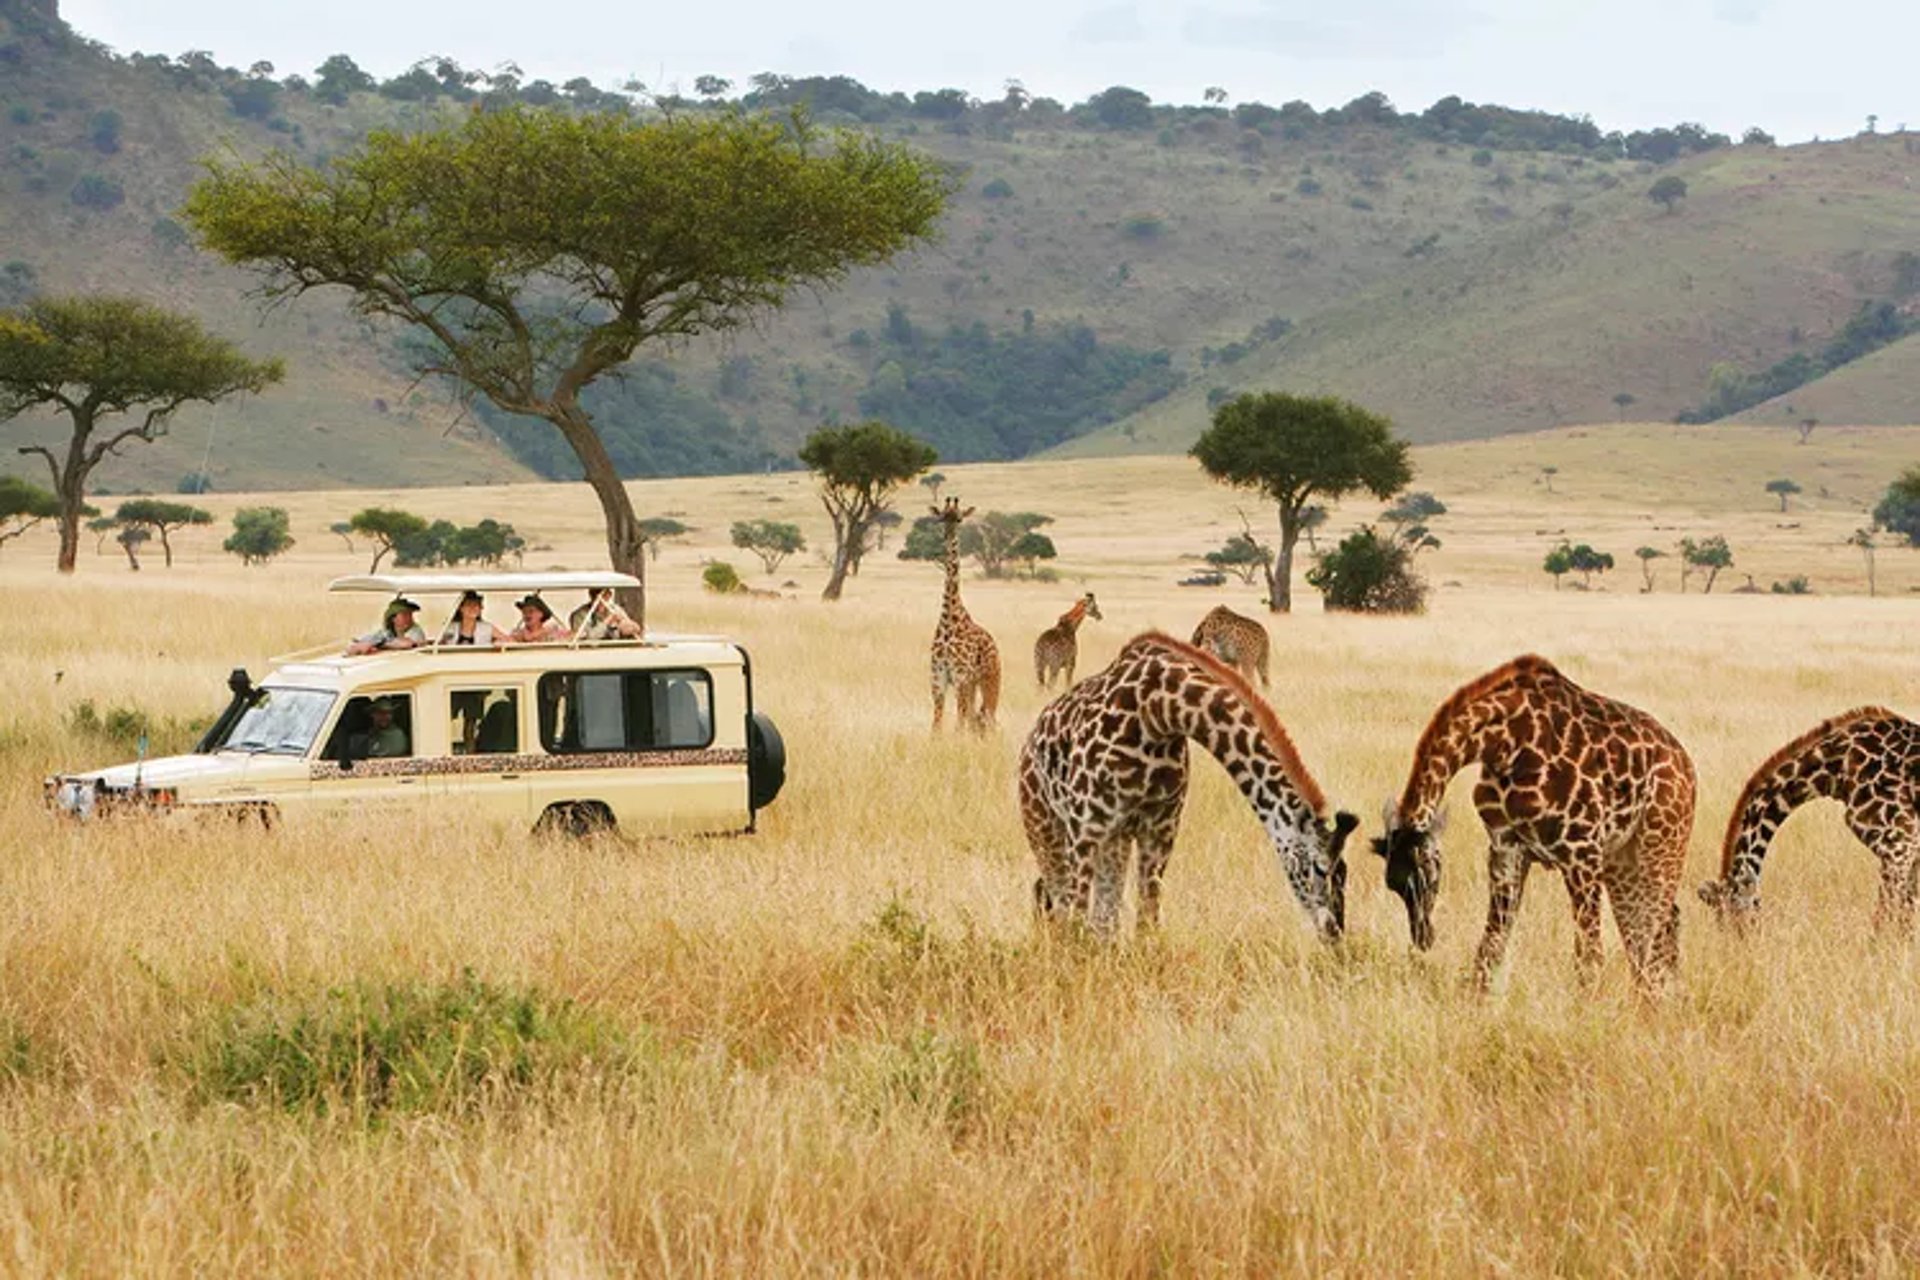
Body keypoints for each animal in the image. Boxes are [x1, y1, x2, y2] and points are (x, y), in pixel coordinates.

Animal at [929, 498, 1006, 729]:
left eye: (959, 519)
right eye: (942, 517)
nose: (948, 536)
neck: (948, 619)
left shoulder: (960, 676)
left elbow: (958, 726)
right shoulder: (938, 678)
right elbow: (936, 727)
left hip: (990, 680)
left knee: (989, 719)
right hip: (972, 685)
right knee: (976, 719)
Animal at [1013, 629, 1359, 940]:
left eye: (1344, 871)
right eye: (1319, 868)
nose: (1335, 933)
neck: (1158, 711)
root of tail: (1030, 739)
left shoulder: (1160, 829)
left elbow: (1146, 923)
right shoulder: (1085, 828)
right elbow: (1076, 922)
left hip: (1115, 840)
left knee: (1103, 919)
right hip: (1045, 826)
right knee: (1059, 905)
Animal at [1374, 656, 1704, 997]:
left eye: (1428, 879)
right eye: (1394, 885)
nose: (1423, 938)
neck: (1504, 744)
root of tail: (1686, 765)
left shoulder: (1581, 850)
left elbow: (1589, 955)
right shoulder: (1507, 848)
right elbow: (1491, 945)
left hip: (1661, 843)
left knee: (1656, 925)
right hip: (1621, 859)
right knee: (1651, 927)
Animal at [1697, 706, 1920, 936]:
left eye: (1734, 919)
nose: (1741, 942)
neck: (1837, 767)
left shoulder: (1901, 842)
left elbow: (1885, 915)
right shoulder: (1908, 850)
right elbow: (1907, 916)